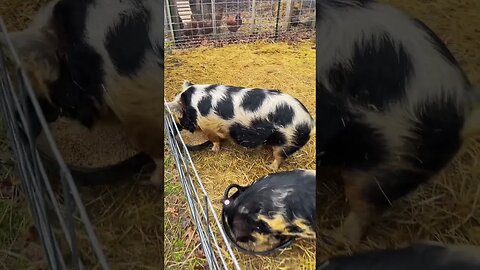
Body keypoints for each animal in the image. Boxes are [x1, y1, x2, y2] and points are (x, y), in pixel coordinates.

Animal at [167, 80, 316, 169]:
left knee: (279, 158)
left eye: (180, 116)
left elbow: (215, 140)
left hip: (287, 143)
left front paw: (214, 150)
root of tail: (309, 121)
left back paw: (270, 167)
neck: (193, 107)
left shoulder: (208, 127)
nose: (185, 128)